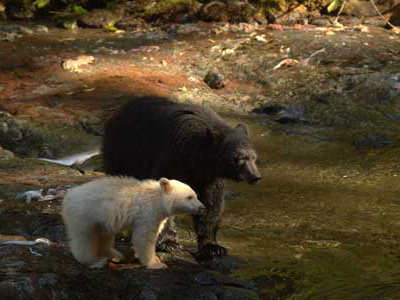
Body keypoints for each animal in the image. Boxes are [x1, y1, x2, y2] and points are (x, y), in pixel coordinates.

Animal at [101, 95, 260, 258]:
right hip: (126, 153)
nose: (255, 177)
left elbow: (211, 203)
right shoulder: (172, 157)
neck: (197, 157)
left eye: (254, 157)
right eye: (239, 158)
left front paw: (213, 247)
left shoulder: (208, 178)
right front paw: (168, 243)